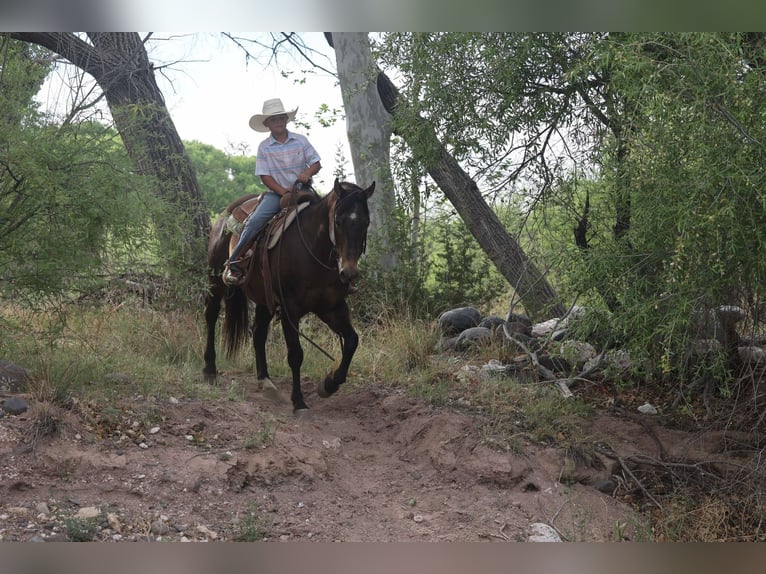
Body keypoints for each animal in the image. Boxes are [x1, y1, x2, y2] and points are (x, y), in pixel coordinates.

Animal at [202, 178, 375, 413]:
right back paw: (210, 369)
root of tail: (228, 212)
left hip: (264, 299)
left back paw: (266, 382)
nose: (348, 273)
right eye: (338, 221)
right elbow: (295, 354)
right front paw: (299, 402)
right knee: (211, 315)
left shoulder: (332, 307)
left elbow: (351, 341)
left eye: (366, 222)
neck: (313, 251)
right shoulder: (289, 309)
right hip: (215, 279)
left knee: (258, 333)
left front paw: (329, 384)